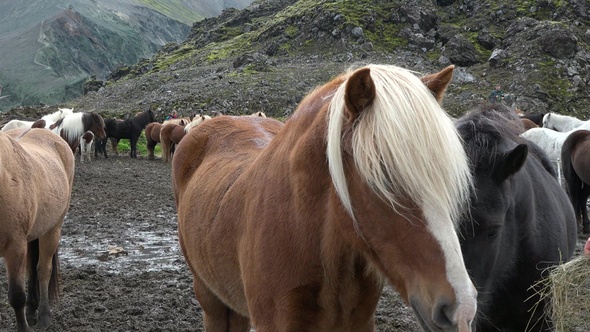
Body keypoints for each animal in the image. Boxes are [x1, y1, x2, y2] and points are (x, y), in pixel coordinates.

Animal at [0, 126, 75, 330]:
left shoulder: (15, 247)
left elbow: (17, 296)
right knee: (31, 270)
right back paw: (32, 309)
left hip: (52, 230)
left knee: (43, 270)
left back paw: (43, 316)